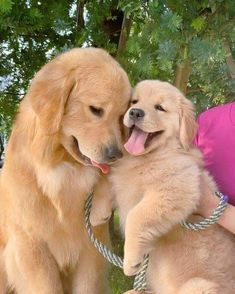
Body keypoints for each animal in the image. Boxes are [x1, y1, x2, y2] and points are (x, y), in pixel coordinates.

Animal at [0, 48, 131, 294]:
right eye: (96, 110)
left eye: (121, 116)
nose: (116, 154)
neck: (62, 169)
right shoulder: (32, 249)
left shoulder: (90, 252)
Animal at [90, 79, 235, 292]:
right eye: (134, 101)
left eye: (160, 108)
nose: (135, 112)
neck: (148, 157)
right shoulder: (121, 173)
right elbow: (105, 180)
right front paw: (96, 214)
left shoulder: (174, 189)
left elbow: (136, 216)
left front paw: (131, 261)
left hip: (199, 286)